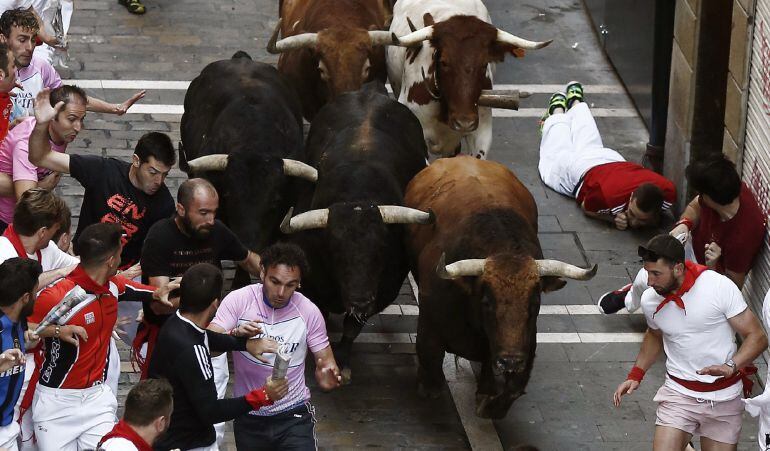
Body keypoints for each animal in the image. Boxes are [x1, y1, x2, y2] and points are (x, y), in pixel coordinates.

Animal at [280, 83, 428, 376]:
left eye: (382, 248)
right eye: (335, 250)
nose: (359, 301)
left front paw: (344, 361)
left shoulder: (381, 291)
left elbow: (352, 328)